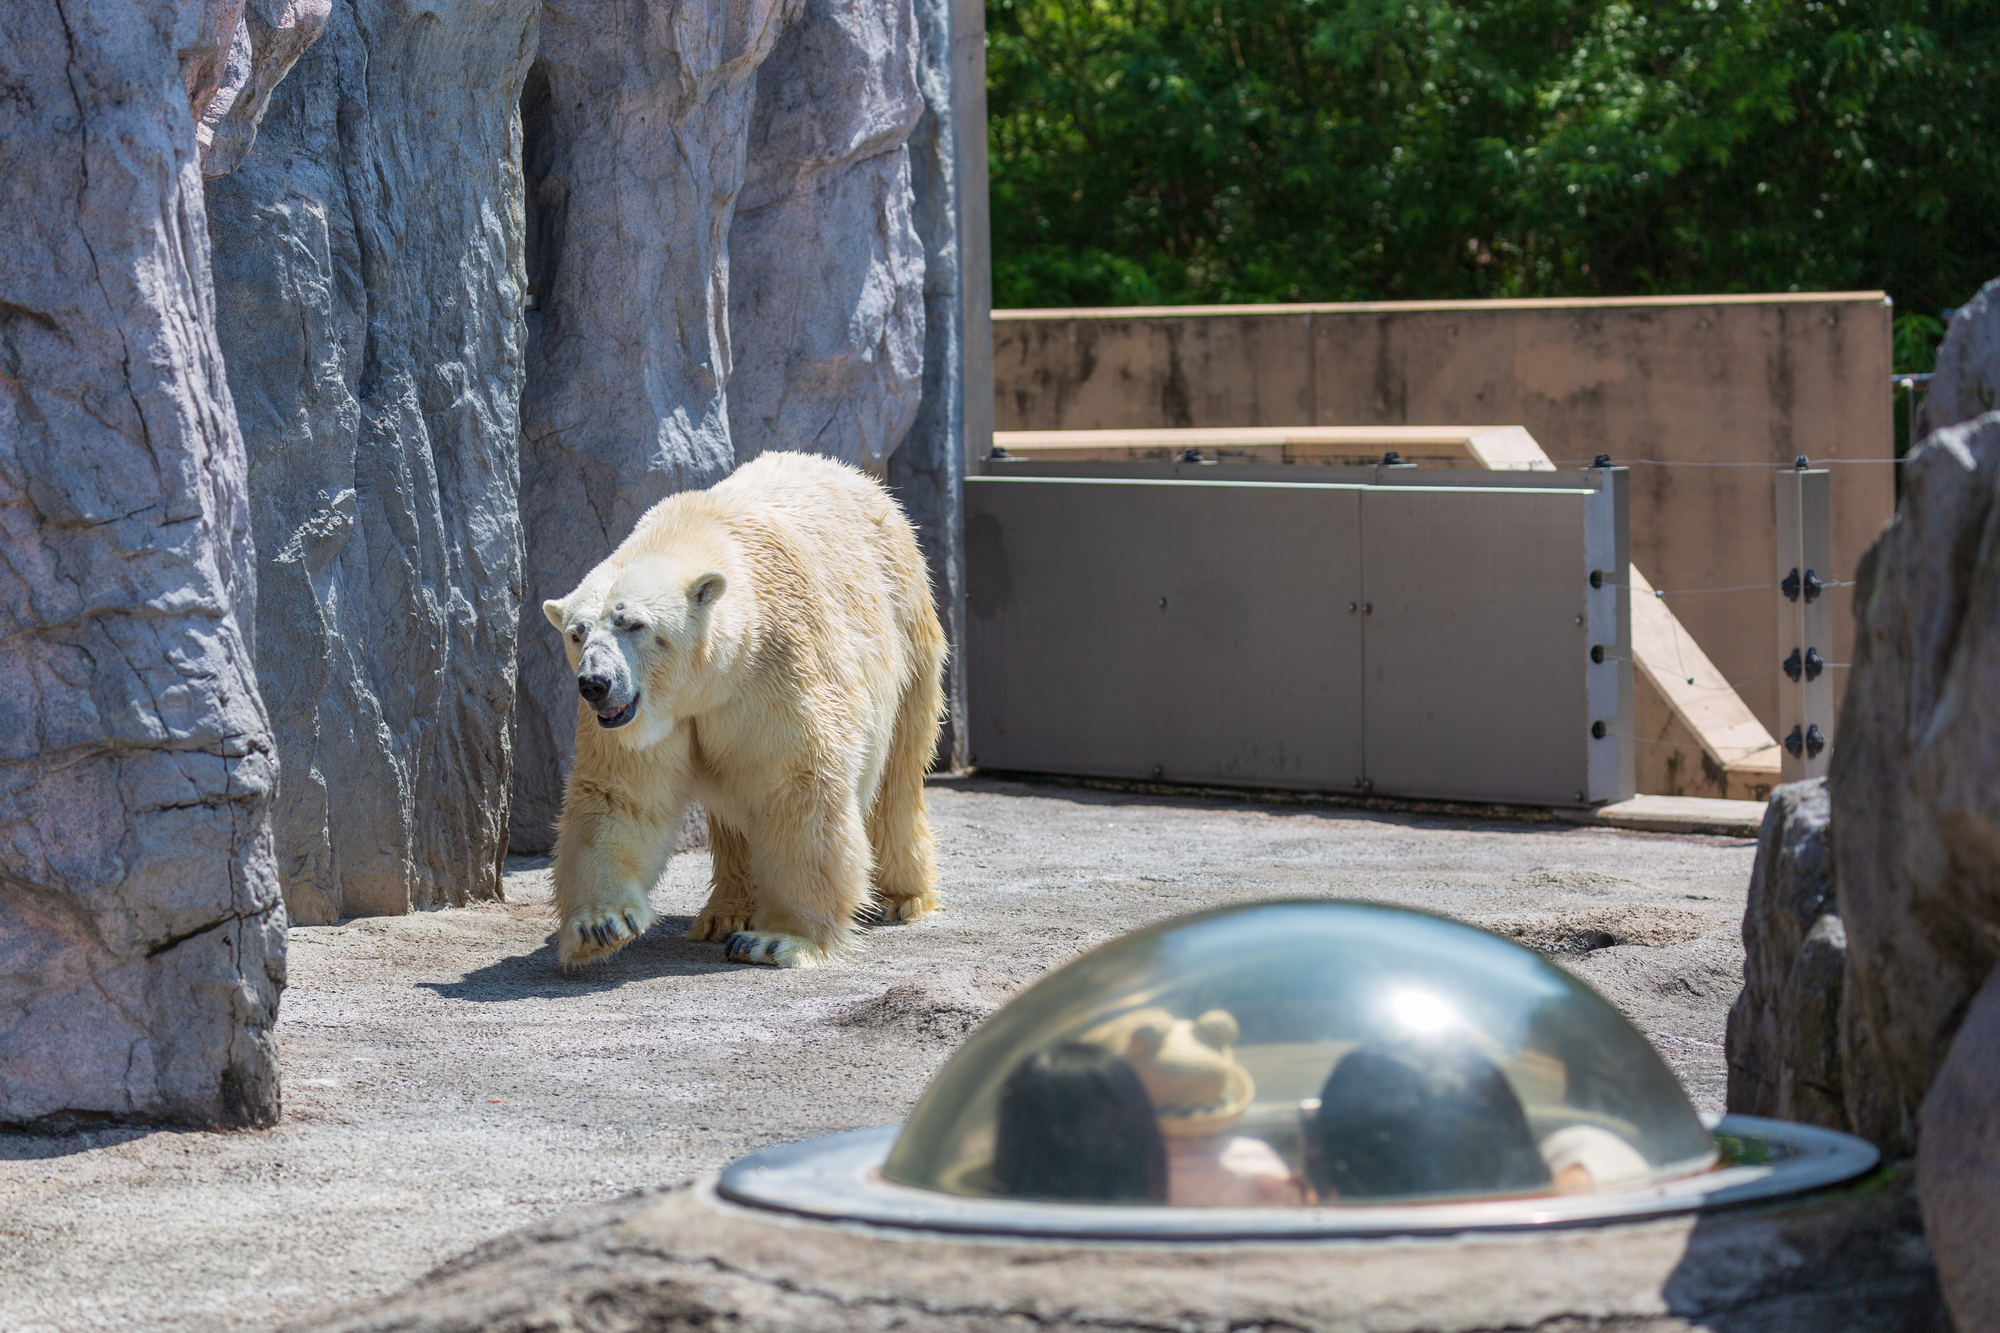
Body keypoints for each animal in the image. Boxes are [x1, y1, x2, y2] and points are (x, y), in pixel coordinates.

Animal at [544, 448, 948, 964]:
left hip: (907, 622)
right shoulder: (648, 715)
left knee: (898, 773)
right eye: (577, 633)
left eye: (633, 624)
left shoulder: (777, 667)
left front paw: (779, 938)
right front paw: (601, 924)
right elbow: (622, 793)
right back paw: (724, 913)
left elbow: (797, 782)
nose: (594, 683)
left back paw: (903, 896)